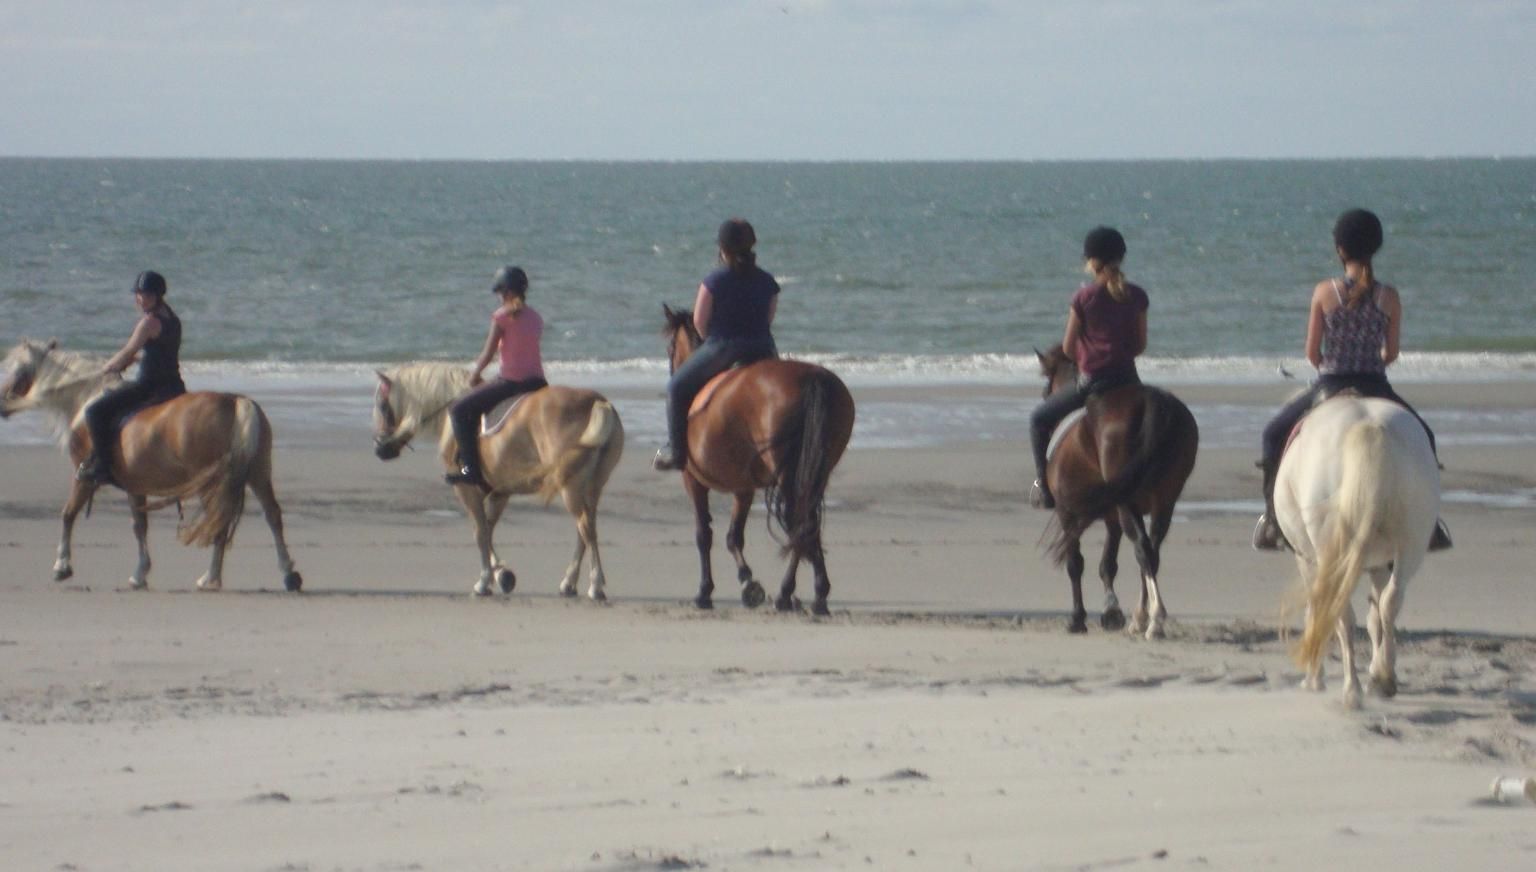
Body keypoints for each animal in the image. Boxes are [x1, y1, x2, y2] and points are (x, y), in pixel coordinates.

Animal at [0, 339, 302, 592]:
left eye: (16, 371)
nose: (2, 405)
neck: (86, 398)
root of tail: (236, 402)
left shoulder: (83, 476)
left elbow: (68, 514)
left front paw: (62, 566)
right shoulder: (135, 486)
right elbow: (139, 526)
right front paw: (140, 574)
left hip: (214, 482)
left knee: (221, 520)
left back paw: (210, 578)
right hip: (258, 474)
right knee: (272, 516)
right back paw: (287, 575)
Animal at [371, 360, 623, 598]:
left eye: (382, 406)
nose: (380, 450)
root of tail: (597, 402)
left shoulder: (466, 489)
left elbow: (480, 532)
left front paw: (485, 581)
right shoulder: (500, 492)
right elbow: (488, 528)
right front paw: (502, 574)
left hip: (570, 486)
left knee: (585, 527)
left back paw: (595, 584)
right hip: (591, 487)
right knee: (586, 529)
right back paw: (569, 582)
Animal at [657, 305, 860, 614]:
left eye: (670, 348)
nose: (671, 370)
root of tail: (812, 377)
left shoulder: (693, 480)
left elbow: (704, 534)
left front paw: (705, 592)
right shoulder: (744, 488)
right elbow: (733, 536)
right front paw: (747, 583)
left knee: (800, 523)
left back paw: (786, 594)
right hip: (817, 471)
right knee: (808, 524)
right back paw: (818, 595)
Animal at [1032, 343, 1198, 635]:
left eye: (1046, 386)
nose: (1044, 395)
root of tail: (1151, 403)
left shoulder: (1067, 512)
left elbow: (1075, 564)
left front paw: (1078, 618)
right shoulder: (1112, 518)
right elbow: (1108, 564)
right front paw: (1112, 611)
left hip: (1127, 503)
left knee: (1143, 548)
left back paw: (1151, 619)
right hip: (1163, 500)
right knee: (1152, 551)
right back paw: (1144, 618)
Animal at [1271, 396, 1437, 709]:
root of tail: (1369, 426)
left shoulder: (1307, 560)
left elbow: (1318, 611)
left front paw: (1314, 677)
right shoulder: (1380, 563)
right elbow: (1376, 617)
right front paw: (1378, 671)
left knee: (1341, 612)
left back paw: (1352, 689)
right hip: (1410, 543)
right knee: (1391, 600)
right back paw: (1383, 679)